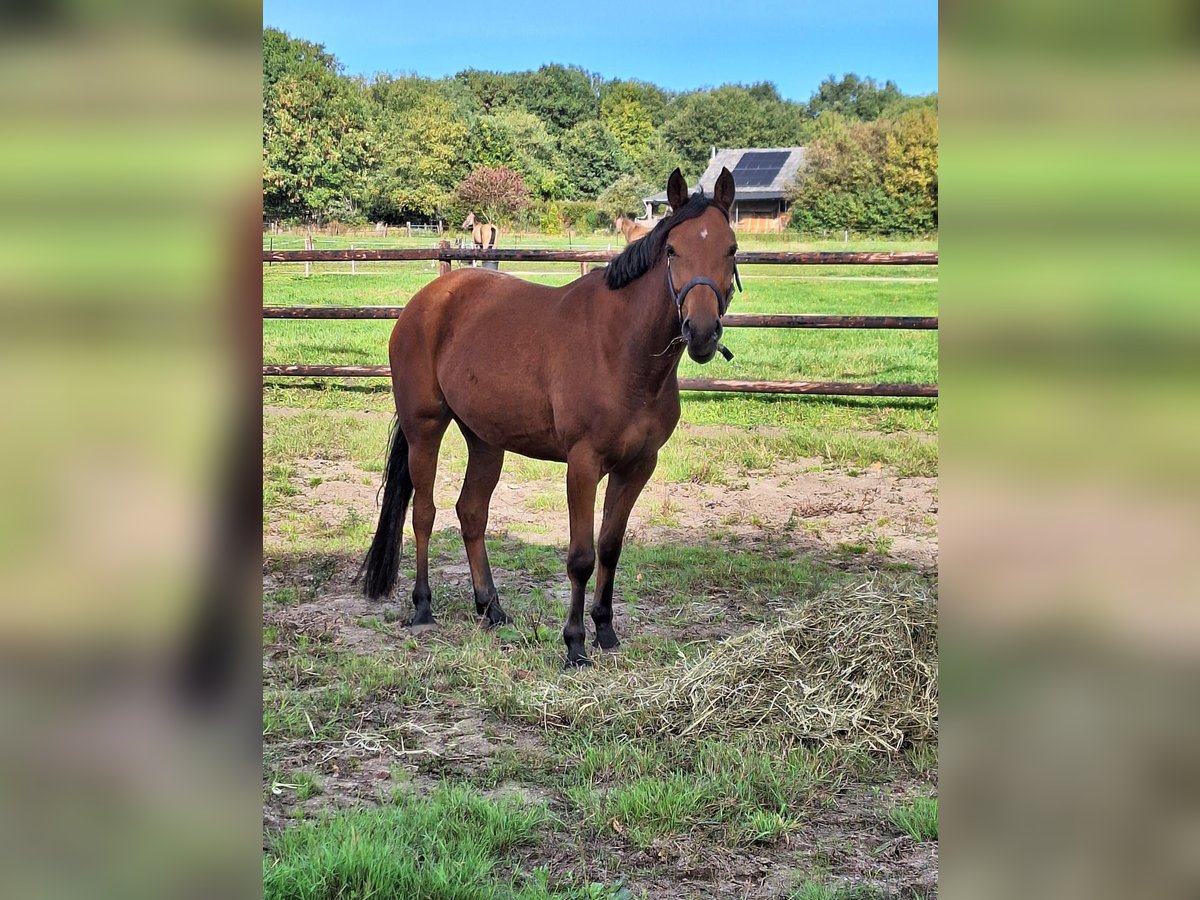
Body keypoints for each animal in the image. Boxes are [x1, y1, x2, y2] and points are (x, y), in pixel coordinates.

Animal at [361, 168, 740, 667]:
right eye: (673, 249)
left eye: (731, 249)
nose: (700, 332)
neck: (622, 351)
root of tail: (425, 301)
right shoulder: (583, 464)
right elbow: (580, 557)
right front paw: (575, 644)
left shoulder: (637, 467)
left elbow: (609, 549)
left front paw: (605, 631)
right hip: (424, 429)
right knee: (424, 513)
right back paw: (423, 606)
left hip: (485, 440)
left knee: (471, 512)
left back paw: (491, 607)